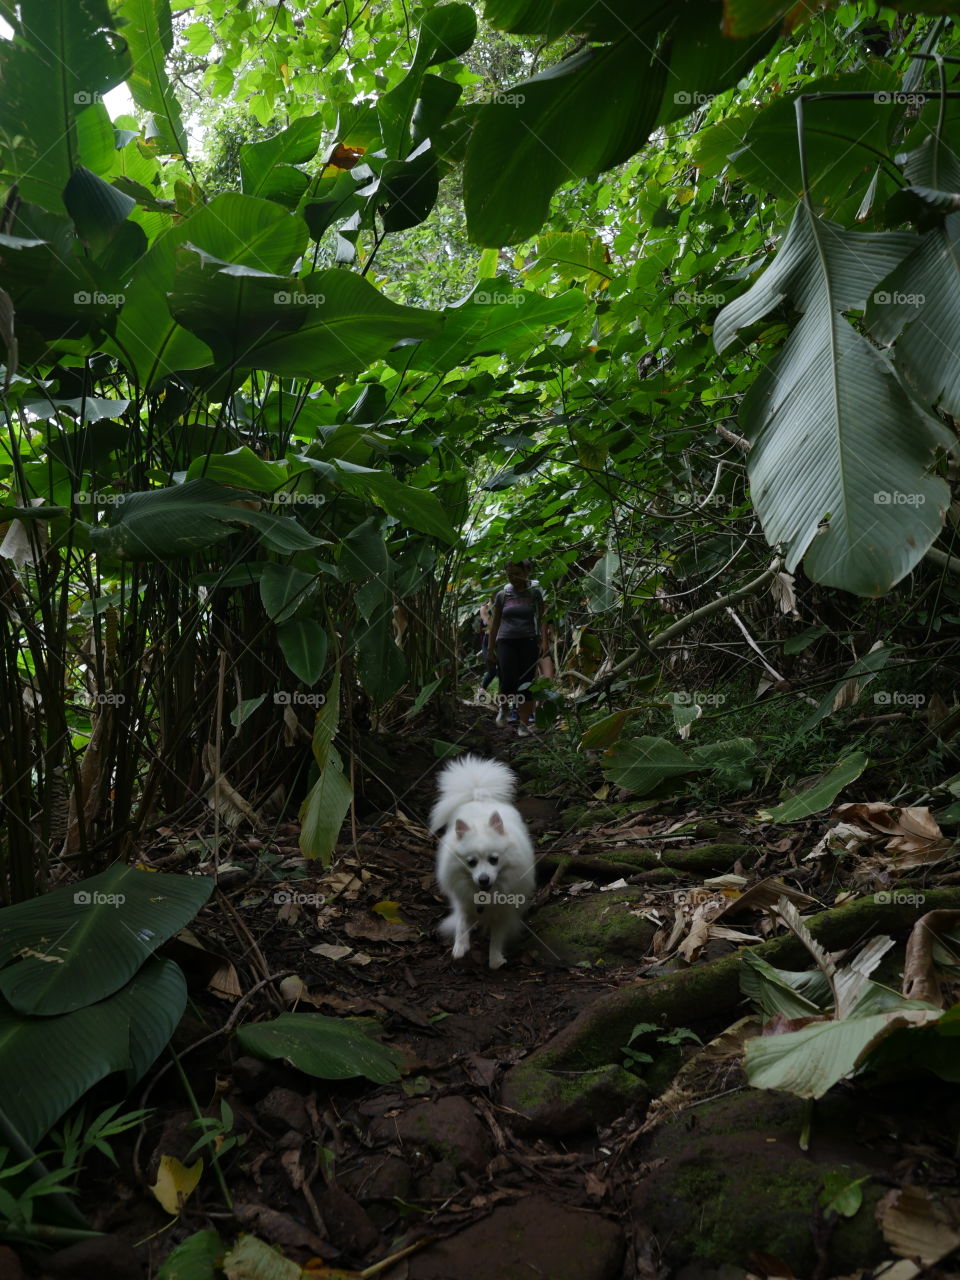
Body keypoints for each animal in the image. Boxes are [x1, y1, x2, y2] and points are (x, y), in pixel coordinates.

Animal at [430, 747, 537, 967]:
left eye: (494, 859)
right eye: (471, 862)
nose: (483, 879)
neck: (485, 894)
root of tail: (479, 796)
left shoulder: (504, 913)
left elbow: (497, 936)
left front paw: (495, 959)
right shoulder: (464, 903)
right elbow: (462, 923)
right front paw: (460, 947)